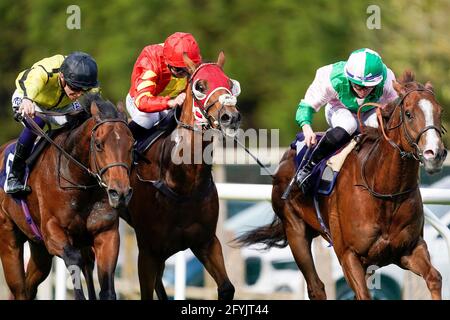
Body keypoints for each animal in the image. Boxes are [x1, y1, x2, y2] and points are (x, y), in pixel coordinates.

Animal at [0, 94, 134, 298]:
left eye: (132, 144)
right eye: (99, 144)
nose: (120, 193)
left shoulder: (107, 233)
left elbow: (107, 289)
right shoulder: (52, 232)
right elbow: (73, 258)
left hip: (39, 249)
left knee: (31, 285)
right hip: (9, 238)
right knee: (20, 289)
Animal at [123, 51, 241, 298]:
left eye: (229, 84)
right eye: (200, 86)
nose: (231, 117)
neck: (184, 182)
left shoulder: (206, 242)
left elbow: (227, 287)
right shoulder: (148, 251)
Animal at [237, 72, 448, 300]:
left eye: (440, 111)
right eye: (408, 113)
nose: (435, 153)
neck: (384, 191)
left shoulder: (408, 250)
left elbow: (435, 277)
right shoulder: (349, 256)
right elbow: (363, 294)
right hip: (295, 229)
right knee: (316, 287)